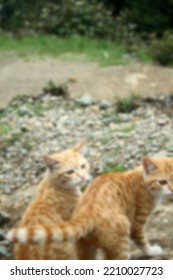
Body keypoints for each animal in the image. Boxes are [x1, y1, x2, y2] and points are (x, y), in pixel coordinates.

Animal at [7, 156, 173, 260]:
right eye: (163, 182)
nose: (172, 190)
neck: (142, 181)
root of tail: (87, 211)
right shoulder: (136, 224)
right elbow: (143, 241)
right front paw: (152, 251)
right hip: (121, 241)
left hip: (83, 247)